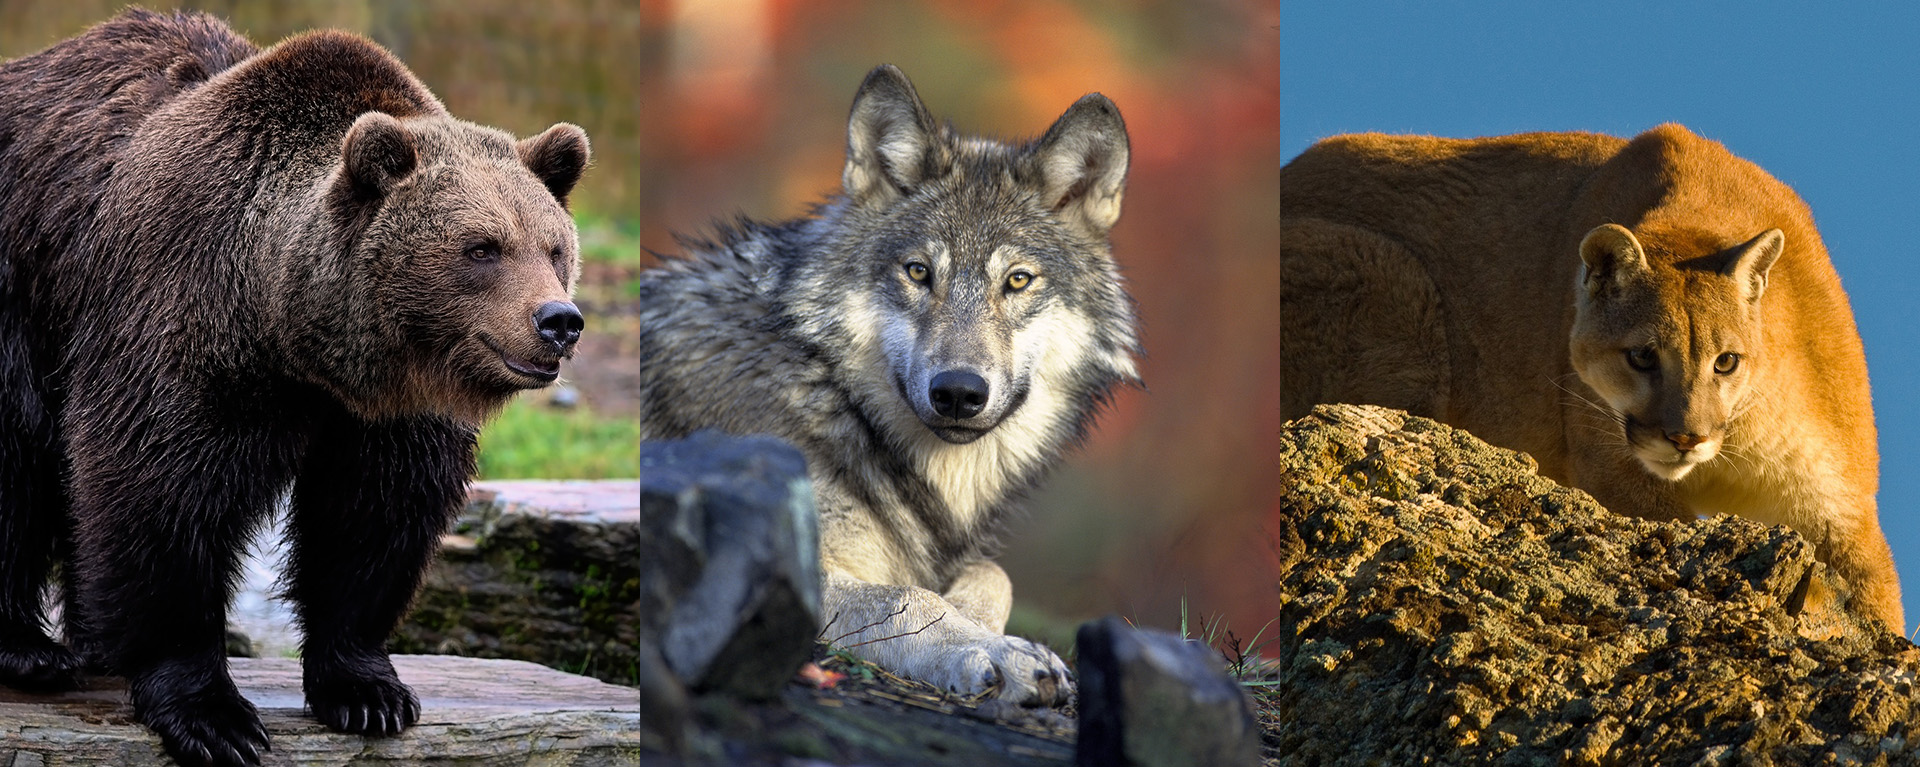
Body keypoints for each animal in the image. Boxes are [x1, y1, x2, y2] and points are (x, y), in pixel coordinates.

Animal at [0, 10, 589, 766]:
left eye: (553, 246)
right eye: (481, 247)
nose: (558, 321)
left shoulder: (388, 414)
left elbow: (373, 517)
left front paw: (368, 691)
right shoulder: (181, 325)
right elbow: (158, 494)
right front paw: (212, 715)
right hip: (19, 292)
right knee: (15, 451)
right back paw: (29, 649)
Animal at [640, 64, 1138, 705]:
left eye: (1018, 281)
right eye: (919, 272)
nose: (958, 392)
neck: (830, 392)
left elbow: (992, 573)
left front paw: (984, 627)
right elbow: (907, 597)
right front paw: (995, 651)